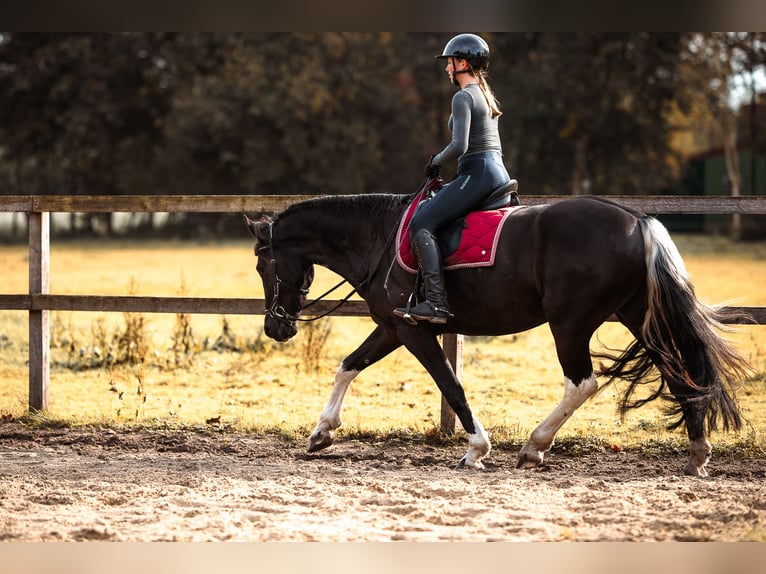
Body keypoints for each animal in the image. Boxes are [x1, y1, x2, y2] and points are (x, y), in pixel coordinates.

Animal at [248, 191, 756, 480]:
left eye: (262, 265)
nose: (276, 326)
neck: (381, 238)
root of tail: (637, 221)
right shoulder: (393, 327)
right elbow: (348, 365)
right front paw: (321, 432)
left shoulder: (413, 330)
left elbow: (450, 384)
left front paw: (476, 450)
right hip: (636, 316)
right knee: (680, 374)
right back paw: (697, 454)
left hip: (570, 322)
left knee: (582, 383)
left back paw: (534, 446)